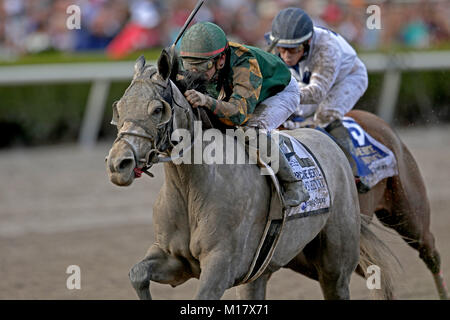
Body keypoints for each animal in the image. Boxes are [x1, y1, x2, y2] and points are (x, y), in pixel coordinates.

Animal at [104, 52, 394, 300]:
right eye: (119, 108)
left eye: (157, 110)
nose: (119, 163)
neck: (191, 186)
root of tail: (325, 137)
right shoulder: (174, 259)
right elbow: (137, 274)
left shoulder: (221, 266)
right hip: (264, 270)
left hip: (335, 264)